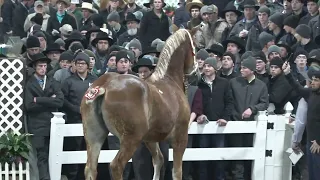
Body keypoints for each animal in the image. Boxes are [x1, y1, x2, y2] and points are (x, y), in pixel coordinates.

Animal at [80, 28, 199, 179]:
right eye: (195, 47)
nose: (196, 73)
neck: (169, 80)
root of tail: (105, 85)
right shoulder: (180, 137)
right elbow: (177, 171)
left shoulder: (150, 139)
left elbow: (158, 160)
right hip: (131, 139)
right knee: (116, 165)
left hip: (94, 136)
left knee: (90, 168)